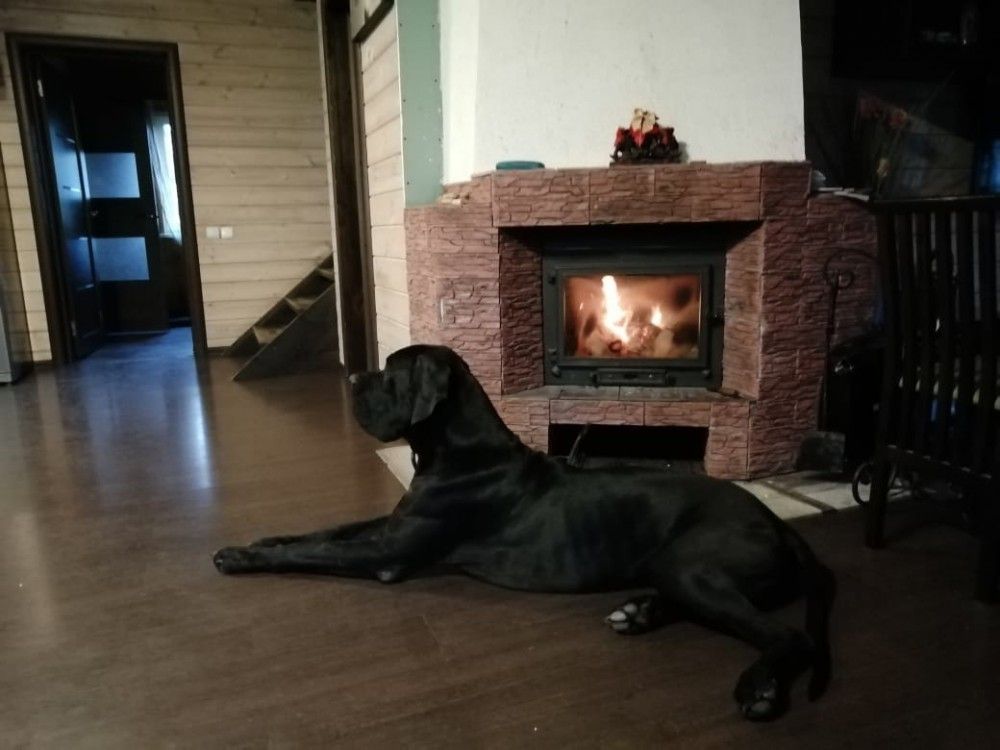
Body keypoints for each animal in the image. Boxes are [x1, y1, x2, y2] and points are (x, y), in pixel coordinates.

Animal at [214, 344, 835, 721]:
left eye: (391, 373)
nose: (354, 377)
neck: (459, 448)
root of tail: (775, 520)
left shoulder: (388, 551)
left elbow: (322, 550)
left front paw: (238, 557)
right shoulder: (392, 523)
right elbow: (327, 531)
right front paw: (266, 541)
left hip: (693, 564)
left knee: (787, 635)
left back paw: (760, 688)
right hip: (678, 569)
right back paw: (637, 613)